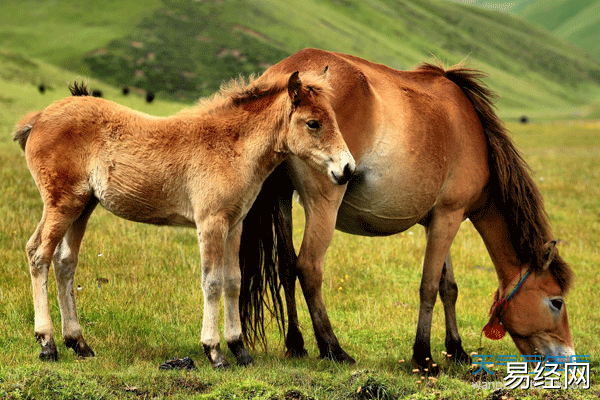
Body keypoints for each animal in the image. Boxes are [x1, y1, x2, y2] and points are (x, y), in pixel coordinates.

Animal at [15, 70, 356, 368]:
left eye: (334, 119)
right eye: (313, 123)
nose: (348, 169)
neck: (230, 147)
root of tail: (38, 118)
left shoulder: (234, 224)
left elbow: (233, 281)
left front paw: (240, 350)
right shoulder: (211, 223)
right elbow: (212, 282)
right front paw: (215, 352)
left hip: (83, 206)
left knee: (65, 262)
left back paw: (79, 344)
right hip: (62, 203)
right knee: (38, 254)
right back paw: (47, 344)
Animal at [238, 48, 572, 374]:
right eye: (556, 302)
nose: (568, 358)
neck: (473, 134)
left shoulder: (436, 220)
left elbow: (448, 287)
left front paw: (457, 350)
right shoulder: (449, 216)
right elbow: (429, 286)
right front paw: (423, 356)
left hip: (282, 198)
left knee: (286, 267)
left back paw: (296, 344)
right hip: (324, 203)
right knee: (308, 267)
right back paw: (333, 349)